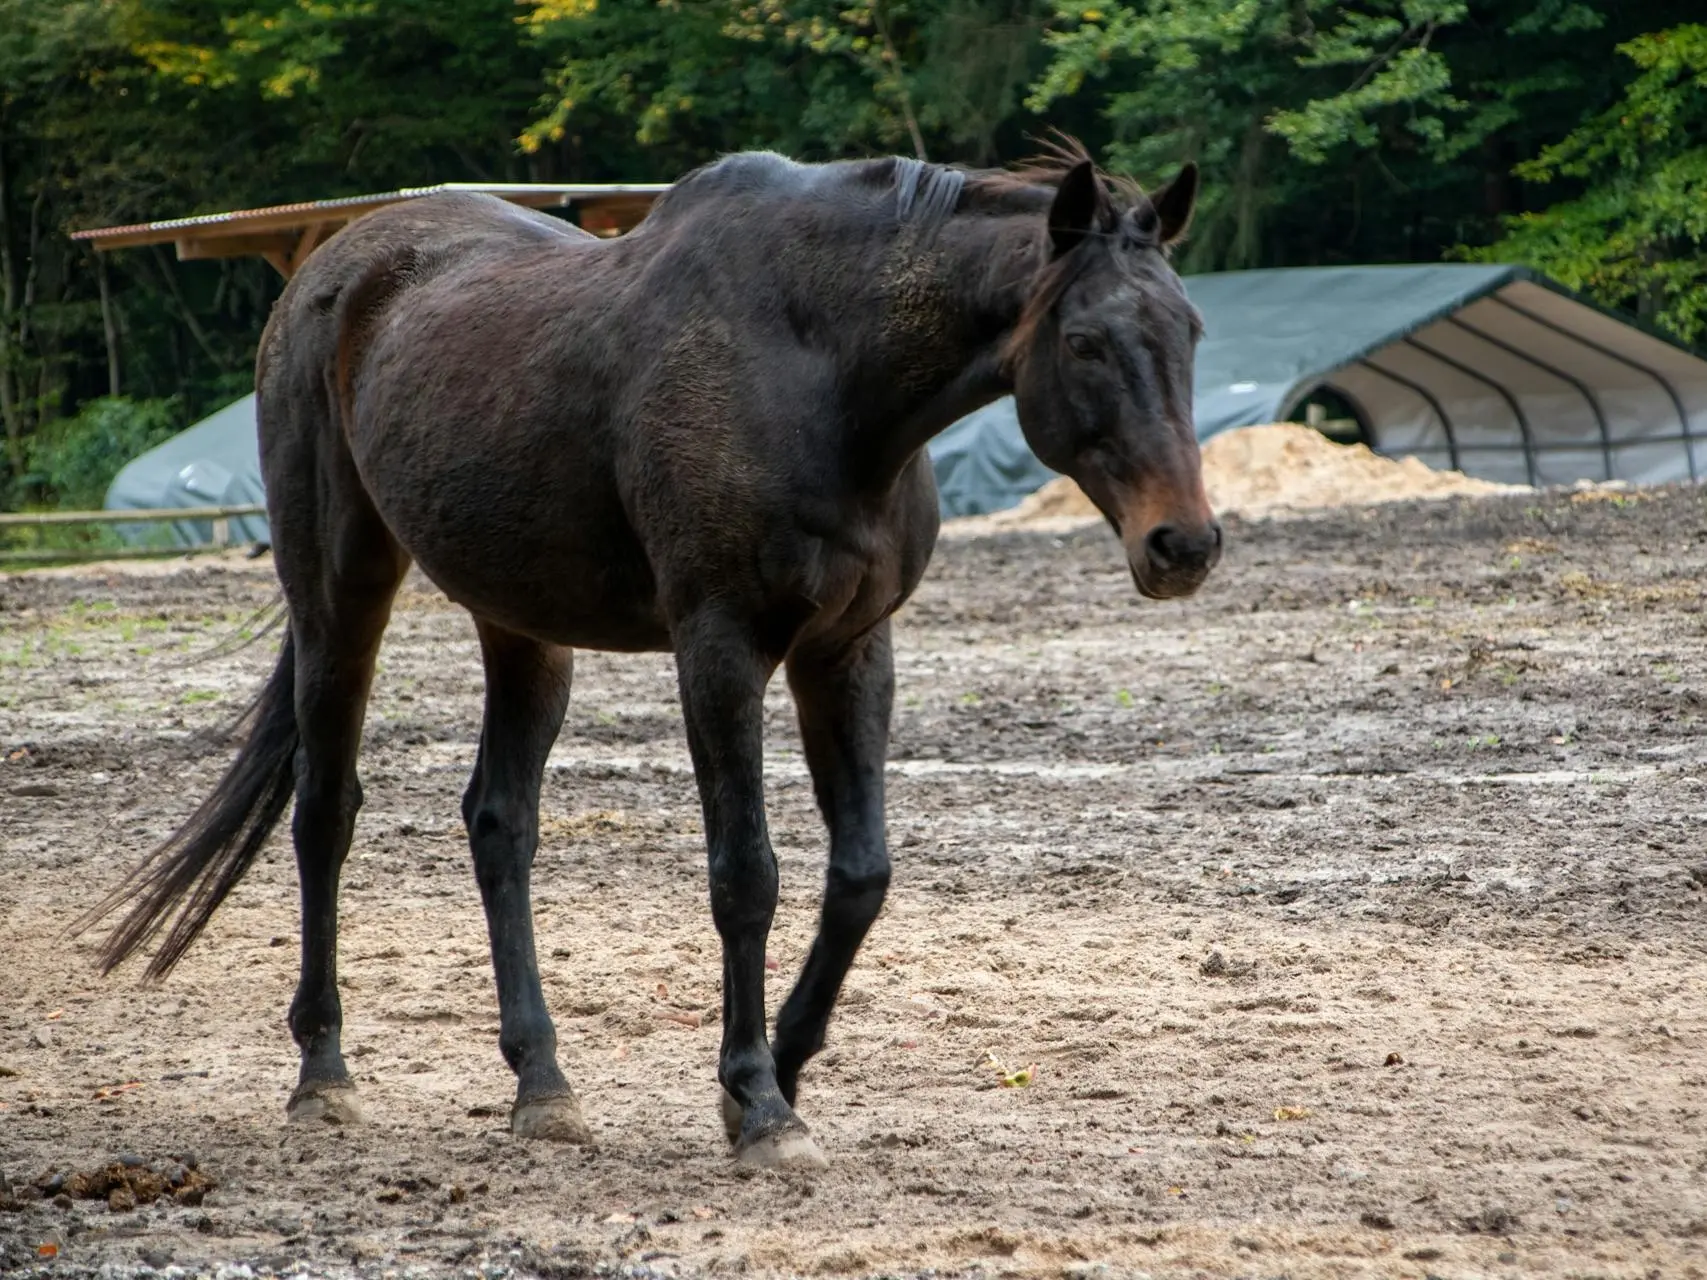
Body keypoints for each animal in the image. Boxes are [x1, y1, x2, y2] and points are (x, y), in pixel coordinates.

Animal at [80, 139, 1222, 1174]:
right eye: (1085, 341)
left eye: (1190, 329)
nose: (1185, 544)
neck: (821, 370)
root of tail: (334, 267)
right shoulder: (719, 646)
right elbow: (745, 874)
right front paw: (758, 1101)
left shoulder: (848, 649)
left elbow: (860, 874)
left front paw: (779, 1068)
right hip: (338, 591)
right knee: (325, 811)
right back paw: (324, 1074)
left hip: (521, 625)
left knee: (499, 825)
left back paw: (542, 1086)